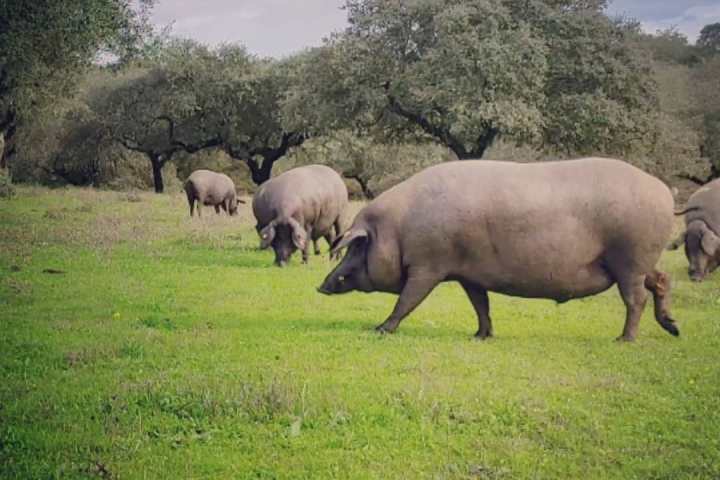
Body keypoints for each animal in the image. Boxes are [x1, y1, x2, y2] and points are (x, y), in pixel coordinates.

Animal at [318, 158, 679, 341]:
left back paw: (625, 340)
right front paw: (481, 336)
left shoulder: (429, 264)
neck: (400, 228)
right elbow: (481, 305)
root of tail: (663, 190)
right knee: (662, 280)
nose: (320, 286)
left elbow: (408, 299)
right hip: (636, 263)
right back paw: (673, 328)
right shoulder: (468, 273)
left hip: (629, 259)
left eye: (357, 246)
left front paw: (380, 329)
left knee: (636, 298)